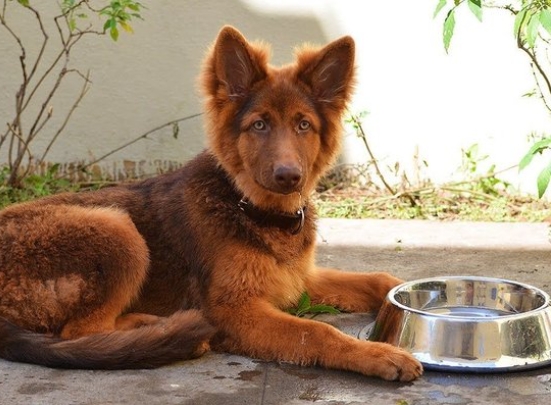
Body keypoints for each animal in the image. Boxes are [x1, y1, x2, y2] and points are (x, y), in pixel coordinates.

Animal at [0, 26, 424, 380]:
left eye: (304, 125)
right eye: (259, 125)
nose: (289, 177)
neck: (249, 206)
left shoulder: (297, 277)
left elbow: (376, 279)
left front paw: (401, 291)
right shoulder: (235, 311)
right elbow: (317, 331)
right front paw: (379, 354)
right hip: (117, 229)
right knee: (79, 332)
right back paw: (158, 331)